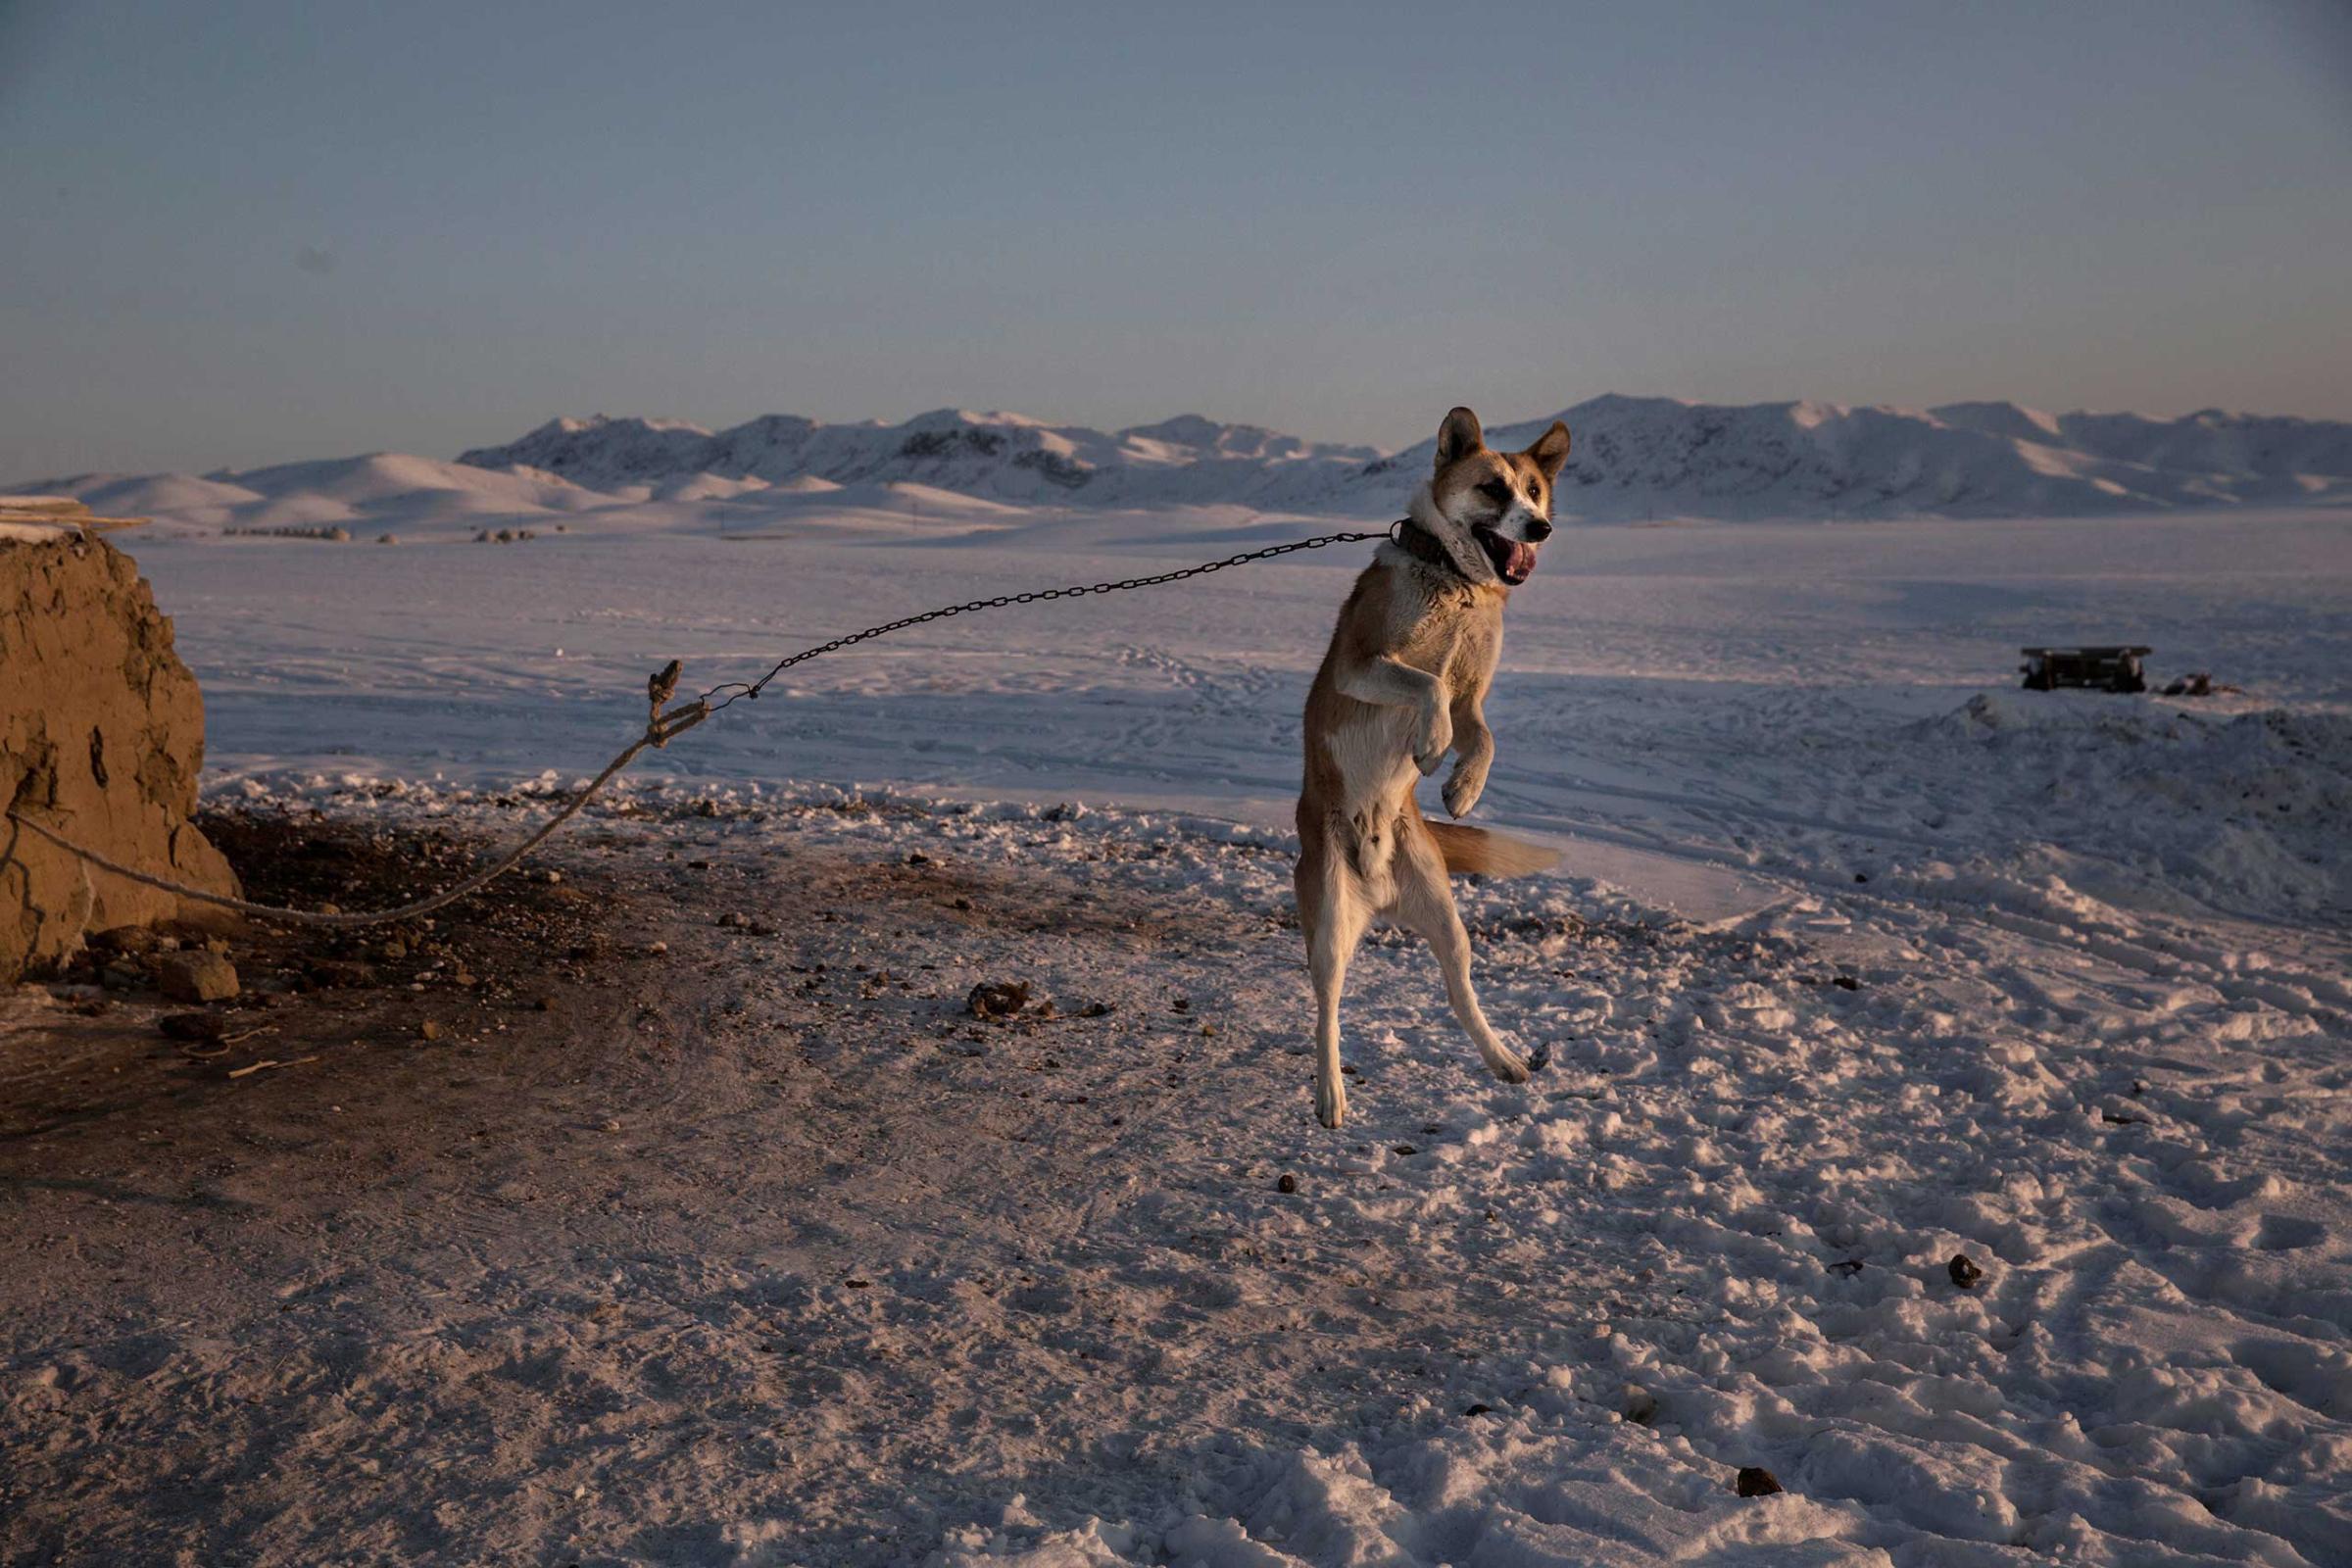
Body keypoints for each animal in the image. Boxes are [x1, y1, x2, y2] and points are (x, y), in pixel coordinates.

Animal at [1298, 404, 1571, 1128]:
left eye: (1534, 490)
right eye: (1493, 489)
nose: (1540, 527)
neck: (1454, 581)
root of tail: (1377, 888)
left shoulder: (1475, 691)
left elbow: (1484, 734)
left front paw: (1464, 787)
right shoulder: (1362, 665)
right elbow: (1427, 687)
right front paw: (1431, 744)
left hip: (1447, 921)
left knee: (1460, 993)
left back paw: (1504, 1058)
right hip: (1328, 922)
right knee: (1327, 1008)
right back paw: (1329, 1094)